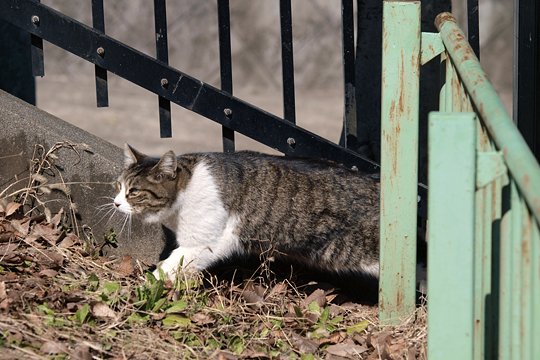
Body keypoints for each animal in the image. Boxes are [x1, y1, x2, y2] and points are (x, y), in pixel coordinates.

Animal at [113, 145, 380, 280]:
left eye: (133, 191)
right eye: (118, 185)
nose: (115, 203)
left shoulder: (205, 242)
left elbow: (170, 265)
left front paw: (146, 285)